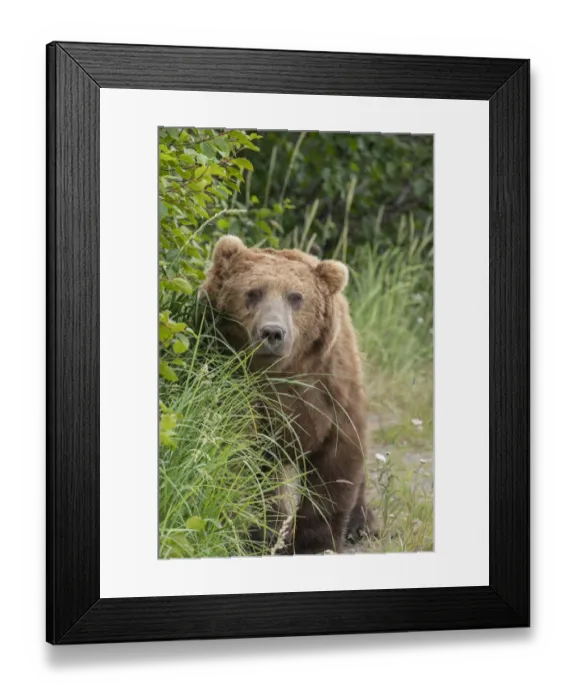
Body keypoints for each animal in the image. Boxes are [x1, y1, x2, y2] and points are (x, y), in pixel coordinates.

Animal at [200, 234, 374, 555]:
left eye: (296, 297)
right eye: (253, 292)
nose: (272, 332)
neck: (283, 371)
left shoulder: (331, 388)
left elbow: (336, 461)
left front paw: (315, 542)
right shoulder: (242, 392)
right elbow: (243, 459)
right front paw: (260, 533)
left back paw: (361, 525)